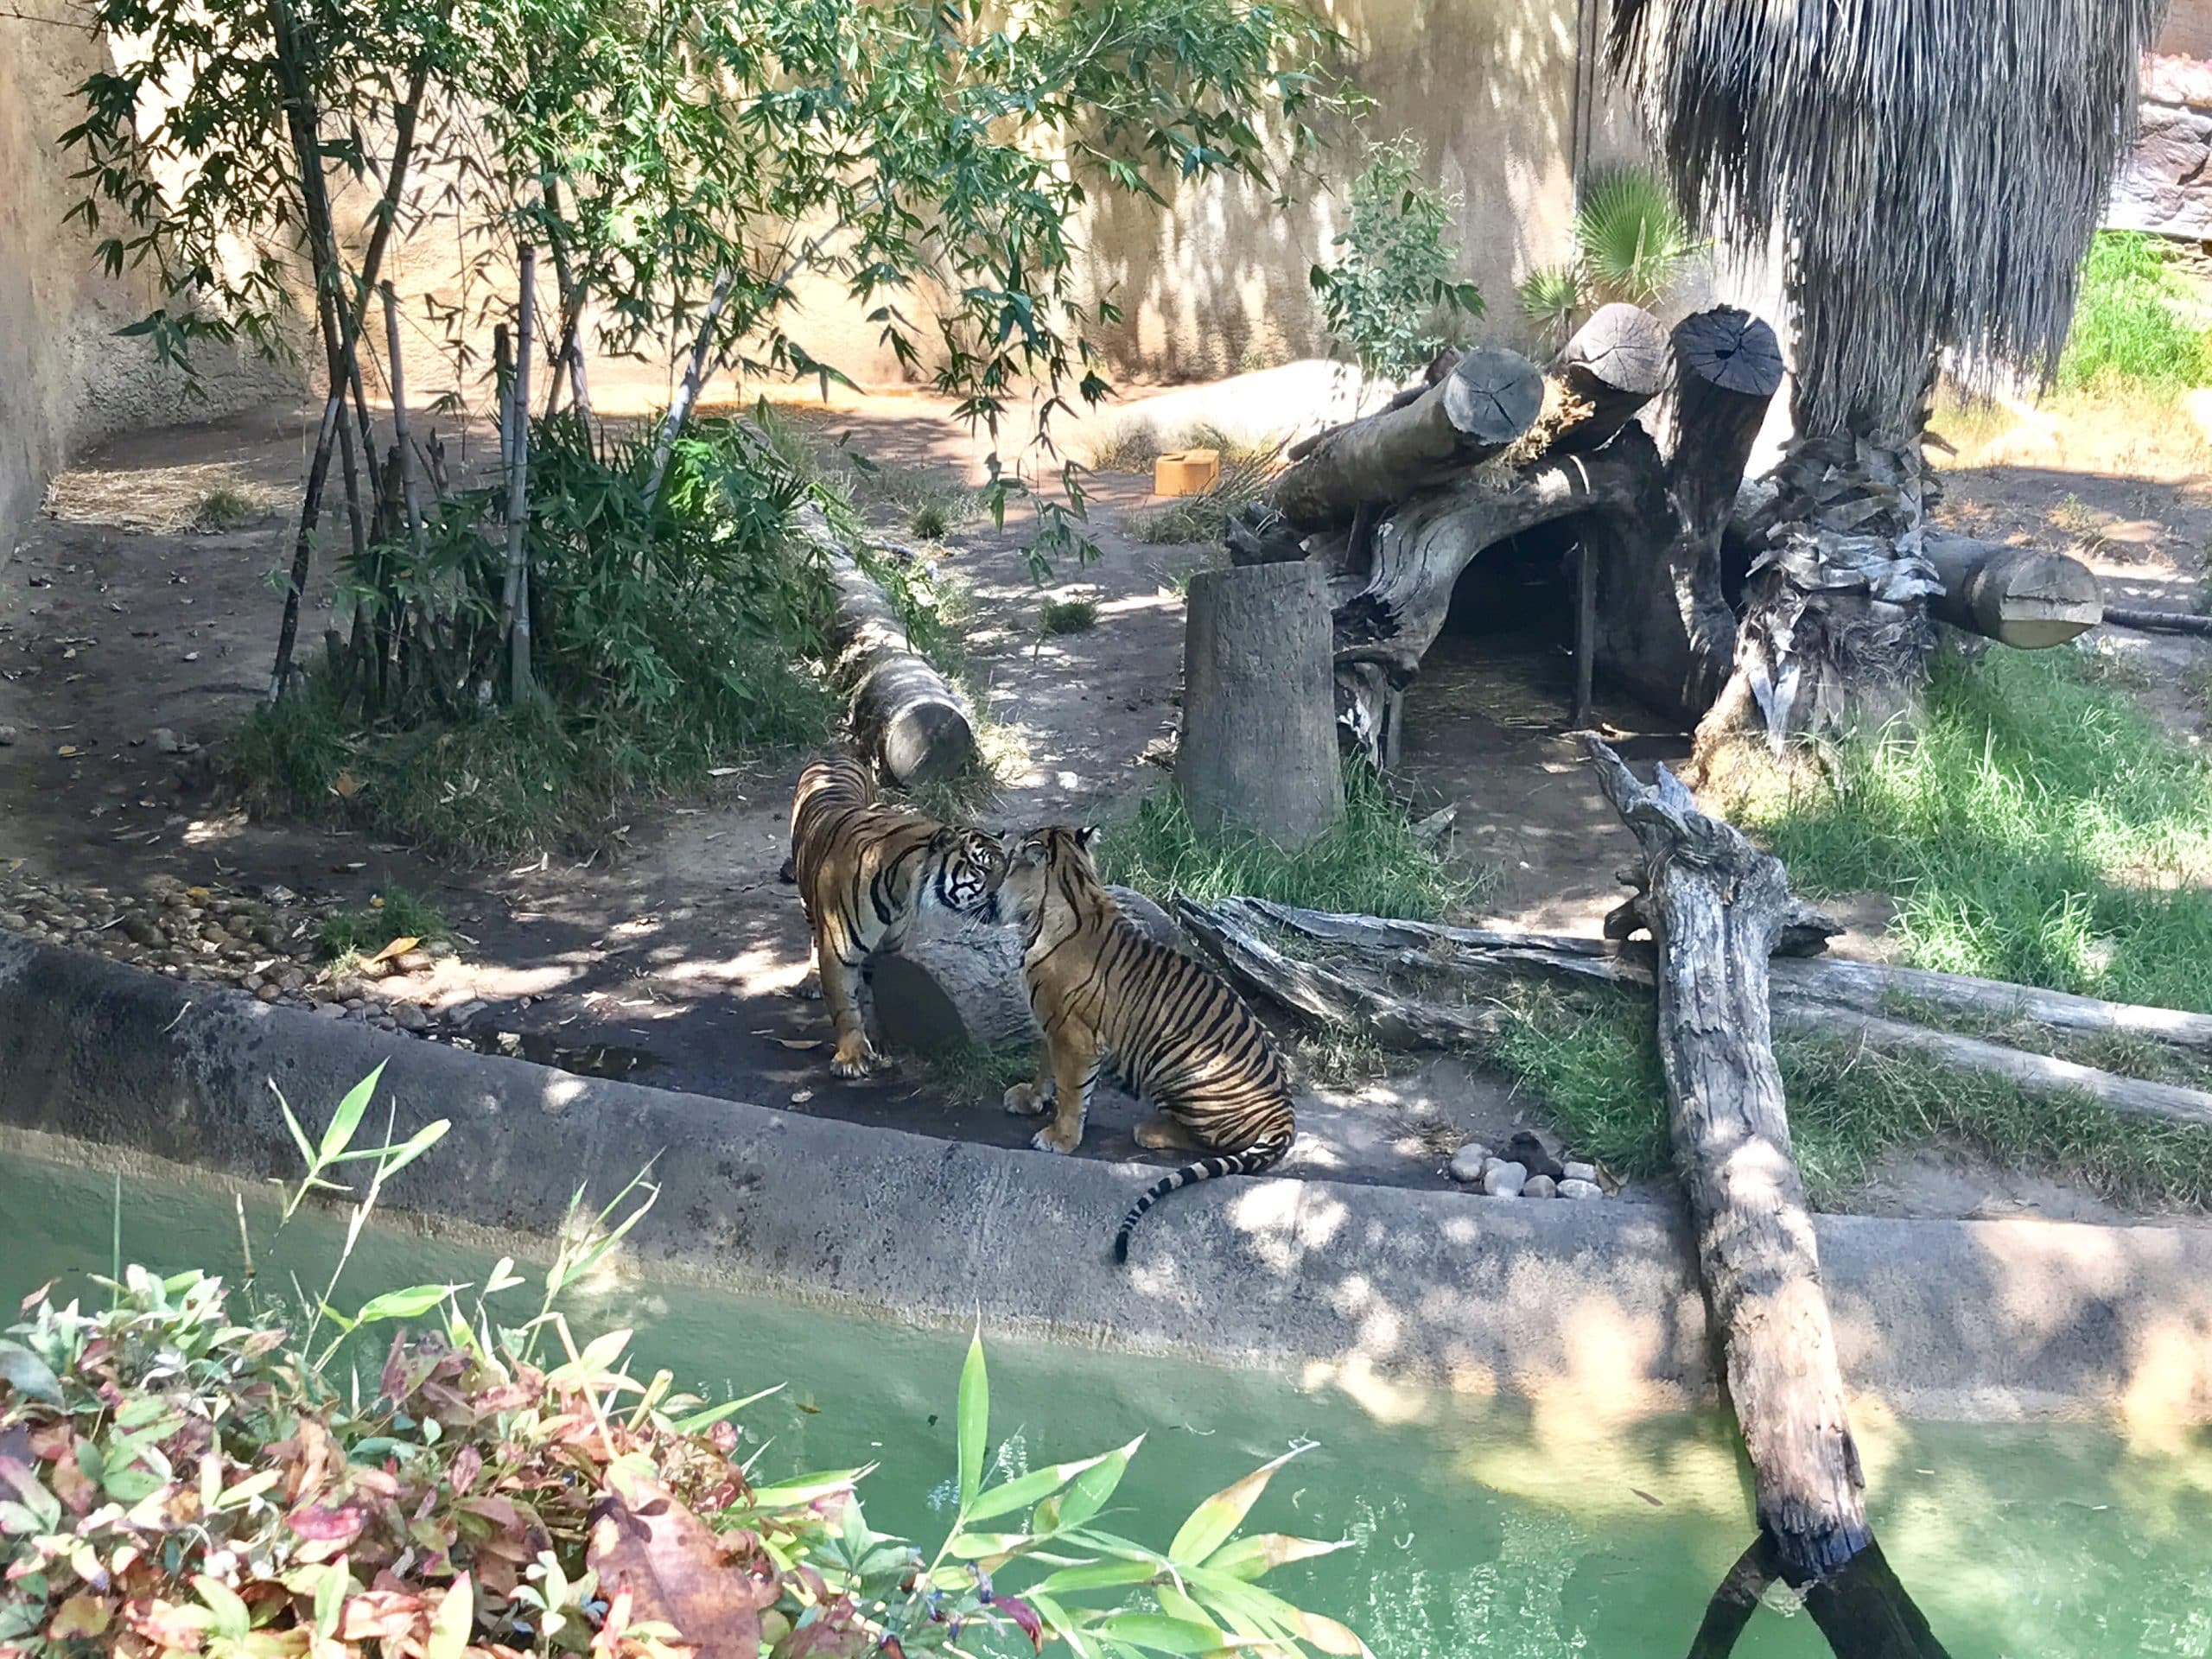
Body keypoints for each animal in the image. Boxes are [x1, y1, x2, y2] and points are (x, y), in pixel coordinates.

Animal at [779, 760, 1013, 1084]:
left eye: (1006, 867)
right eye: (982, 869)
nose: (1009, 898)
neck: (900, 890)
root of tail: (833, 756)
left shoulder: (889, 949)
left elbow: (879, 995)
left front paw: (880, 1039)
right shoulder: (838, 952)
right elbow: (844, 1006)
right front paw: (852, 1057)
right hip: (808, 902)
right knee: (813, 936)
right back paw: (812, 981)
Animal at [990, 827, 1292, 1265]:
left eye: (1012, 854)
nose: (1000, 835)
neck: (1073, 886)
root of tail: (1284, 1112)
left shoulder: (1072, 1034)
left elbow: (1071, 1091)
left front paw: (1059, 1138)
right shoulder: (1051, 1023)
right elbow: (1044, 1066)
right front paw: (1030, 1098)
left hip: (1175, 1063)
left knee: (1208, 1140)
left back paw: (1150, 1131)